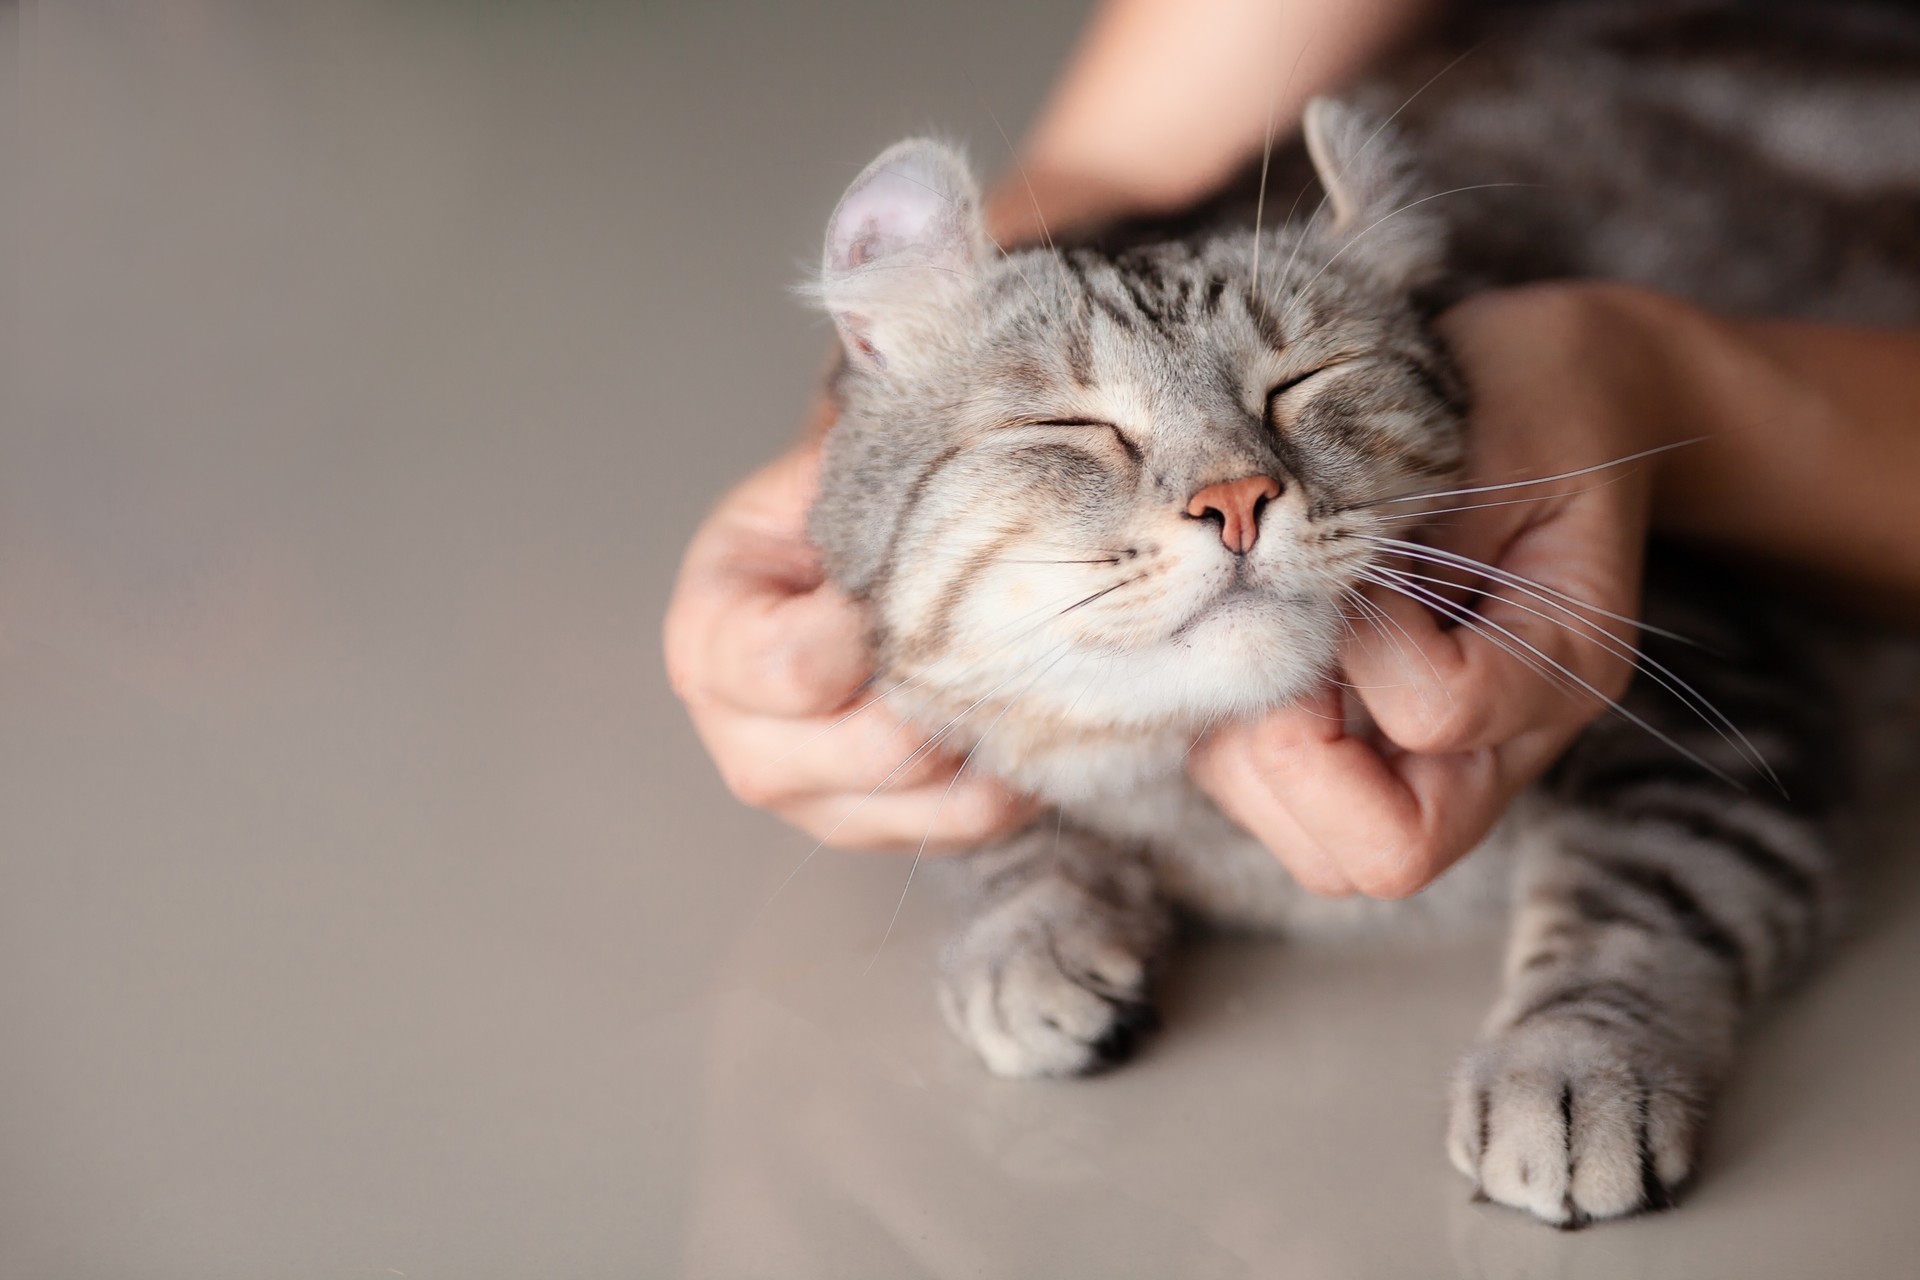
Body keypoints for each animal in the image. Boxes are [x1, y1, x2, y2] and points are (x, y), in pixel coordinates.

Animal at [798, 0, 1920, 1228]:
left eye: (1305, 382)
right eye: (1076, 426)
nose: (1236, 498)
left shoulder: (1725, 702)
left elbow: (1641, 899)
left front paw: (1569, 1068)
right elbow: (998, 825)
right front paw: (1033, 930)